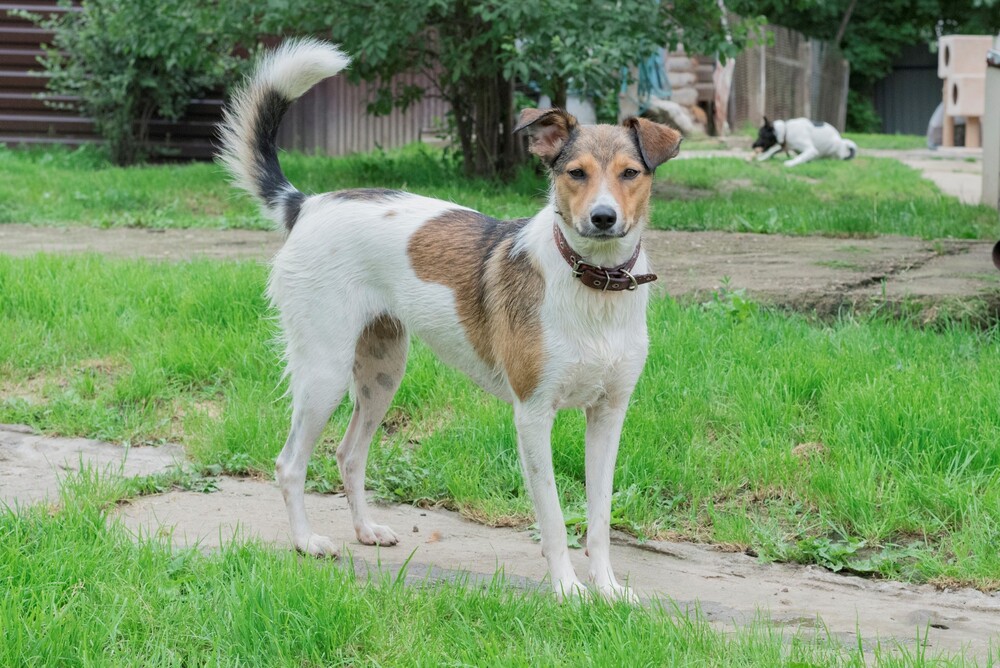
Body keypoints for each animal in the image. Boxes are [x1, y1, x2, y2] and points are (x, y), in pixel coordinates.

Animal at [221, 40, 680, 600]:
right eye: (576, 173)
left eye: (630, 174)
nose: (603, 218)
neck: (593, 283)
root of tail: (307, 204)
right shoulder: (533, 415)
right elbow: (552, 517)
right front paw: (568, 590)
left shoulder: (609, 415)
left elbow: (599, 516)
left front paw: (608, 589)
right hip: (324, 374)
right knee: (290, 464)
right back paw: (308, 541)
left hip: (381, 373)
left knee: (350, 454)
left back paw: (365, 530)